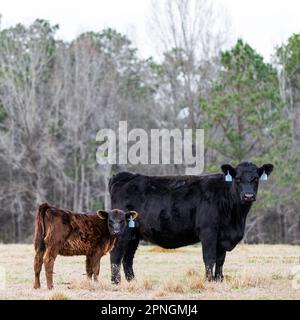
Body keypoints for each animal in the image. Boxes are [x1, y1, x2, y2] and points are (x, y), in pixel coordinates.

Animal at [109, 162, 274, 282]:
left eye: (256, 179)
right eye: (238, 178)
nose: (248, 196)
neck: (236, 219)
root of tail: (125, 176)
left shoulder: (222, 236)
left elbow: (221, 259)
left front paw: (219, 279)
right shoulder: (208, 231)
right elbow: (210, 258)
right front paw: (208, 280)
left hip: (134, 234)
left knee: (128, 258)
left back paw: (132, 281)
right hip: (123, 231)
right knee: (116, 254)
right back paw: (116, 282)